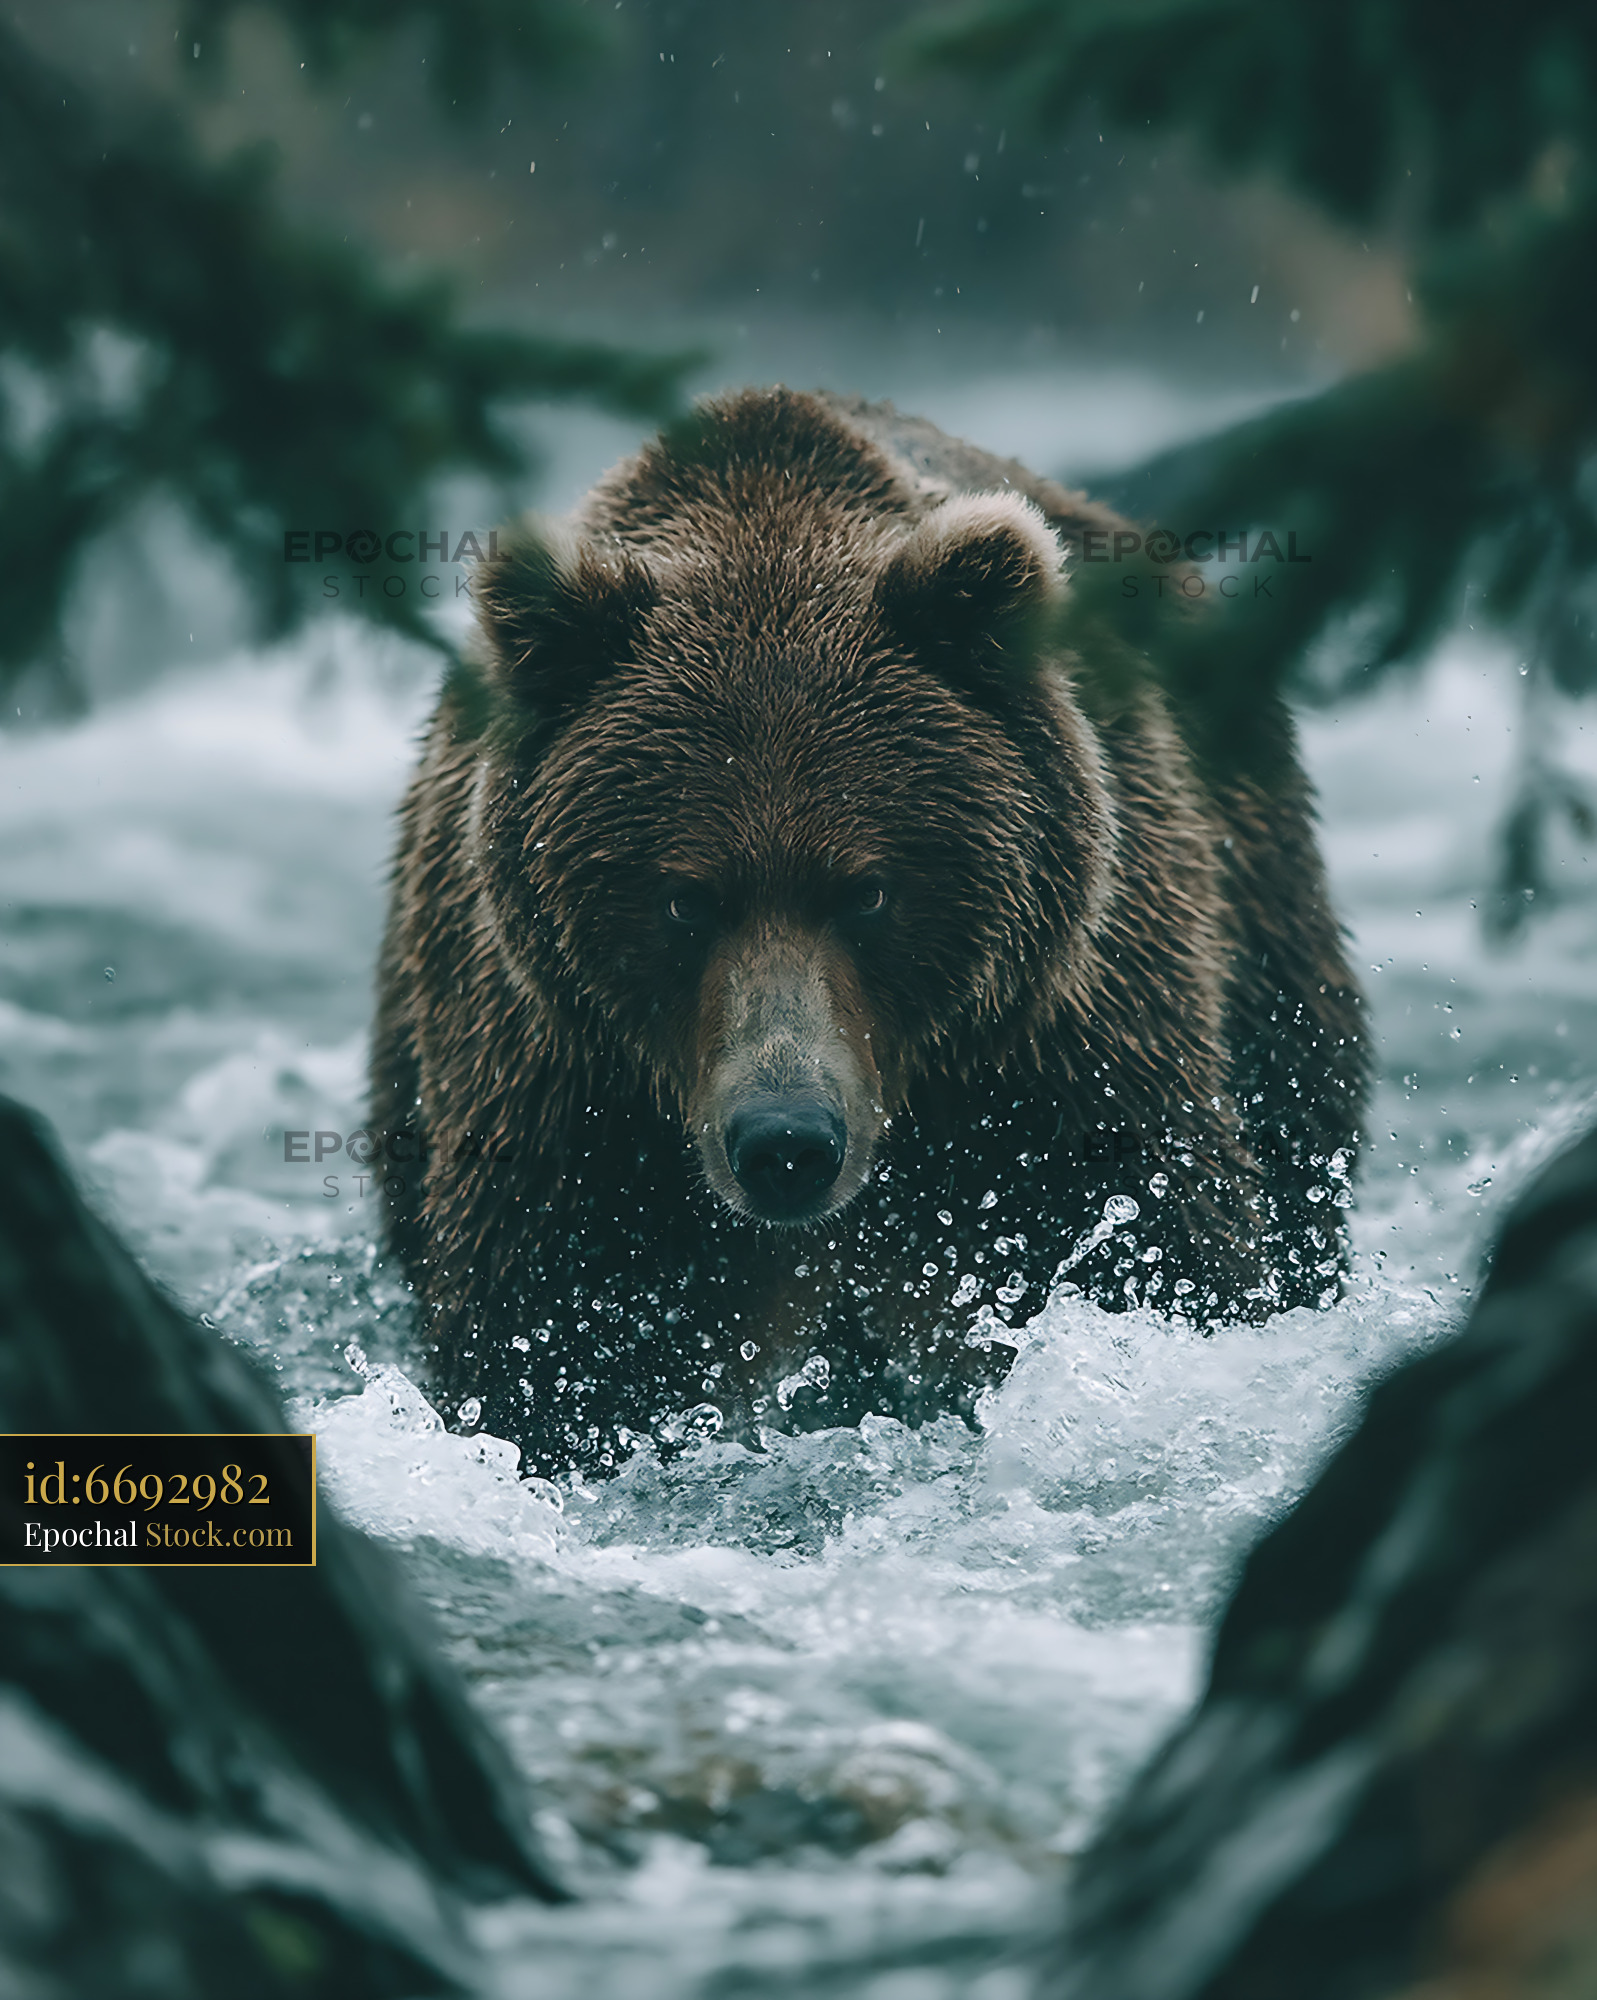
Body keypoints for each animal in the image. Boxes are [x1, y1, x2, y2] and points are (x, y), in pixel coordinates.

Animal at [370, 386, 1367, 1477]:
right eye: (685, 898)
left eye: (866, 891)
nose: (785, 1140)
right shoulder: (572, 1102)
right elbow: (554, 1351)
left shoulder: (1053, 1057)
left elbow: (1153, 1250)